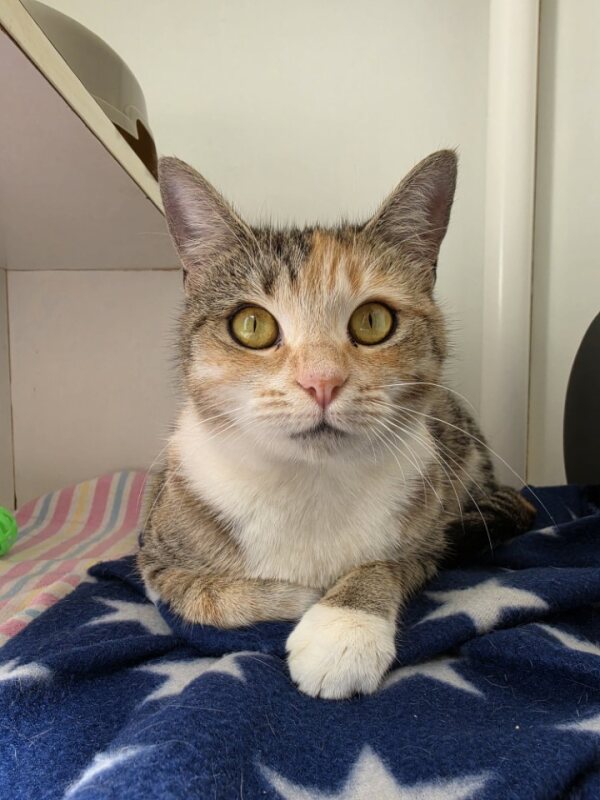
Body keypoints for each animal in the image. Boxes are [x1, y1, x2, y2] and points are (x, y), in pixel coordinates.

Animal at [137, 150, 535, 700]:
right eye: (251, 325)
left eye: (373, 321)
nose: (321, 381)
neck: (310, 482)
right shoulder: (155, 558)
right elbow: (207, 598)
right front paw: (299, 597)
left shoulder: (426, 539)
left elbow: (385, 565)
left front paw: (343, 629)